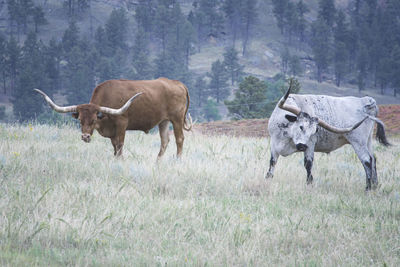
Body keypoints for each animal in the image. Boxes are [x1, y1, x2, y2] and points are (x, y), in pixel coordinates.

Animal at [35, 77, 192, 159]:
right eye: (80, 120)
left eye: (93, 120)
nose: (85, 137)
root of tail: (178, 83)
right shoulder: (112, 132)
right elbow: (114, 146)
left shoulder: (122, 123)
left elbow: (120, 144)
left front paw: (120, 161)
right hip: (163, 121)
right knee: (165, 141)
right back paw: (157, 162)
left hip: (177, 119)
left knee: (179, 139)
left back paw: (178, 160)